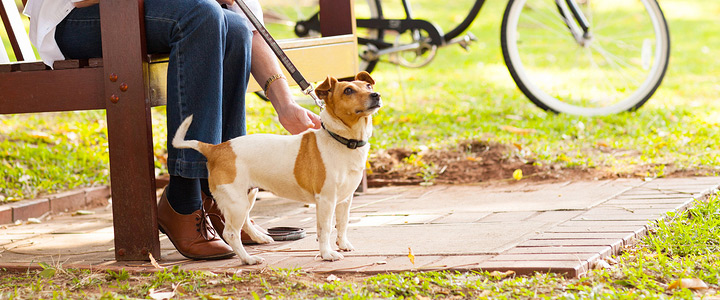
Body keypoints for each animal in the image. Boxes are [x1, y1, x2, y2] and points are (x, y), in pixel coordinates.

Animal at [171, 71, 382, 264]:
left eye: (368, 86)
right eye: (348, 90)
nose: (376, 94)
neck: (342, 140)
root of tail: (216, 148)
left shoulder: (345, 200)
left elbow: (343, 223)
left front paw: (343, 244)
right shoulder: (326, 200)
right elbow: (325, 229)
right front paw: (327, 254)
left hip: (246, 196)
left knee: (244, 222)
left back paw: (259, 238)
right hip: (236, 202)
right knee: (230, 233)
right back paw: (248, 259)